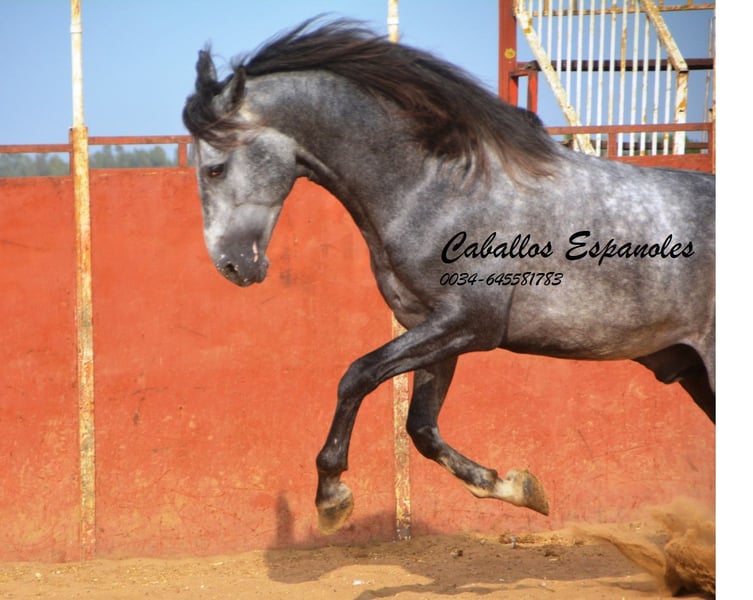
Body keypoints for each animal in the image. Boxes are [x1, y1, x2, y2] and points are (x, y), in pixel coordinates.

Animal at [182, 19, 715, 534]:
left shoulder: (471, 323)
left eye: (214, 169)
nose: (231, 266)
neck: (442, 186)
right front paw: (520, 489)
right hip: (692, 372)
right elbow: (420, 427)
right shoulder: (433, 326)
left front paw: (332, 497)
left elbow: (357, 375)